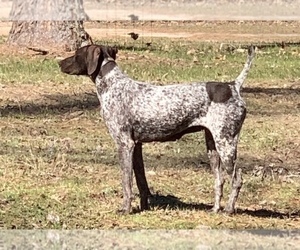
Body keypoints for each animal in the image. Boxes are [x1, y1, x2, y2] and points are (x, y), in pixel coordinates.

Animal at [59, 44, 255, 214]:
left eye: (76, 54)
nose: (59, 63)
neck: (113, 85)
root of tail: (233, 86)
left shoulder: (125, 144)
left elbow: (126, 182)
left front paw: (126, 209)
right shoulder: (136, 146)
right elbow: (141, 182)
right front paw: (143, 207)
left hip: (226, 144)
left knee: (236, 179)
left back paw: (228, 210)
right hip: (212, 146)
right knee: (219, 179)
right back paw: (215, 209)